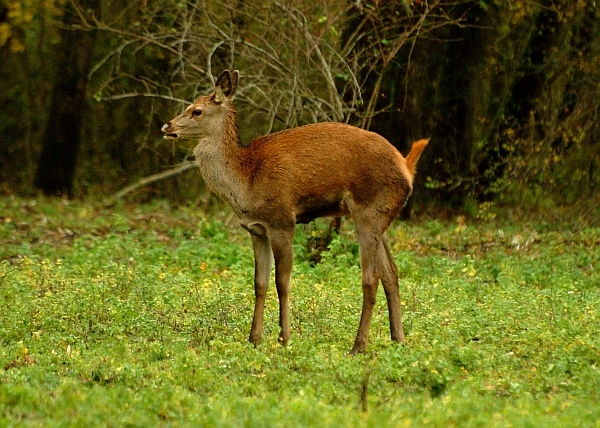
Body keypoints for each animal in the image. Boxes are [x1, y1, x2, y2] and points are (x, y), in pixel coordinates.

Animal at [162, 69, 428, 354]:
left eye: (197, 111)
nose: (167, 126)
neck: (246, 181)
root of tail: (406, 166)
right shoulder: (256, 229)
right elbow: (259, 283)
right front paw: (254, 339)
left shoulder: (282, 221)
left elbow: (283, 282)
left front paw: (284, 338)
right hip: (382, 217)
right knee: (391, 273)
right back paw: (398, 339)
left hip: (368, 211)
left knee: (371, 277)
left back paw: (358, 346)